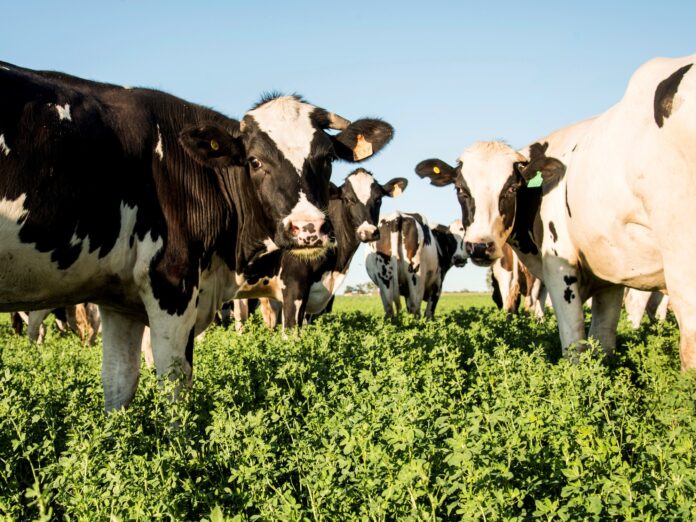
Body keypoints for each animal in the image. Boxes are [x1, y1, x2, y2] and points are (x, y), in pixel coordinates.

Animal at [416, 54, 696, 369]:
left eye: (511, 188)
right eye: (461, 190)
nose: (479, 247)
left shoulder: (561, 268)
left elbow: (574, 347)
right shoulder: (609, 276)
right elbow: (603, 342)